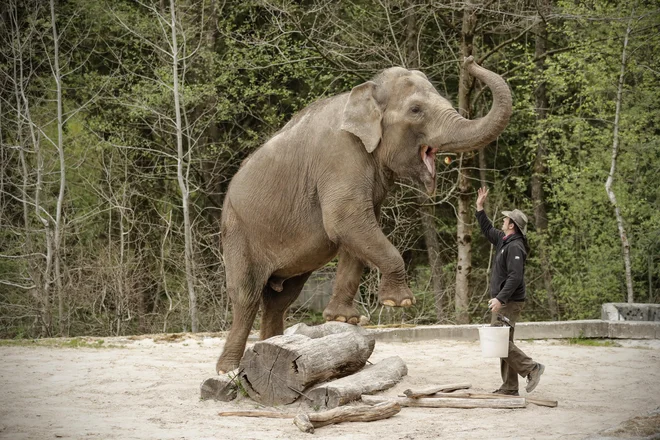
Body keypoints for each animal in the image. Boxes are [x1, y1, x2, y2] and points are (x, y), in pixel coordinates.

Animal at [215, 54, 510, 372]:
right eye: (416, 110)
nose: (469, 59)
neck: (365, 92)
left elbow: (358, 230)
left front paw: (343, 319)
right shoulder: (340, 157)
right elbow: (346, 221)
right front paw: (399, 303)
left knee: (279, 299)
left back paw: (273, 346)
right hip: (237, 231)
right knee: (246, 296)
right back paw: (229, 368)